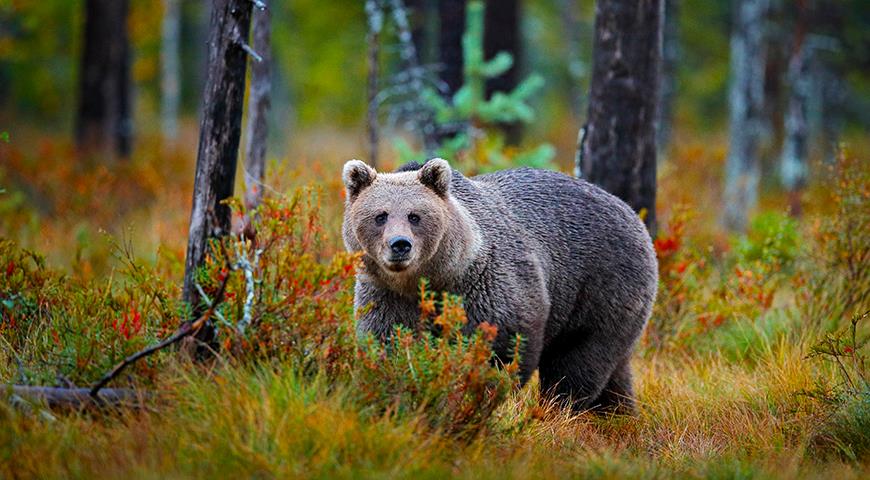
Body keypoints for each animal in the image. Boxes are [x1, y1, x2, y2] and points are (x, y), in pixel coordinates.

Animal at [344, 158, 656, 412]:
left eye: (415, 215)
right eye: (380, 215)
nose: (400, 245)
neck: (433, 278)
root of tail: (632, 214)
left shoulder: (487, 285)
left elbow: (503, 345)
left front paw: (479, 392)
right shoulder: (387, 294)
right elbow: (388, 340)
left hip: (602, 287)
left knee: (578, 361)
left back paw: (559, 407)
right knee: (615, 372)